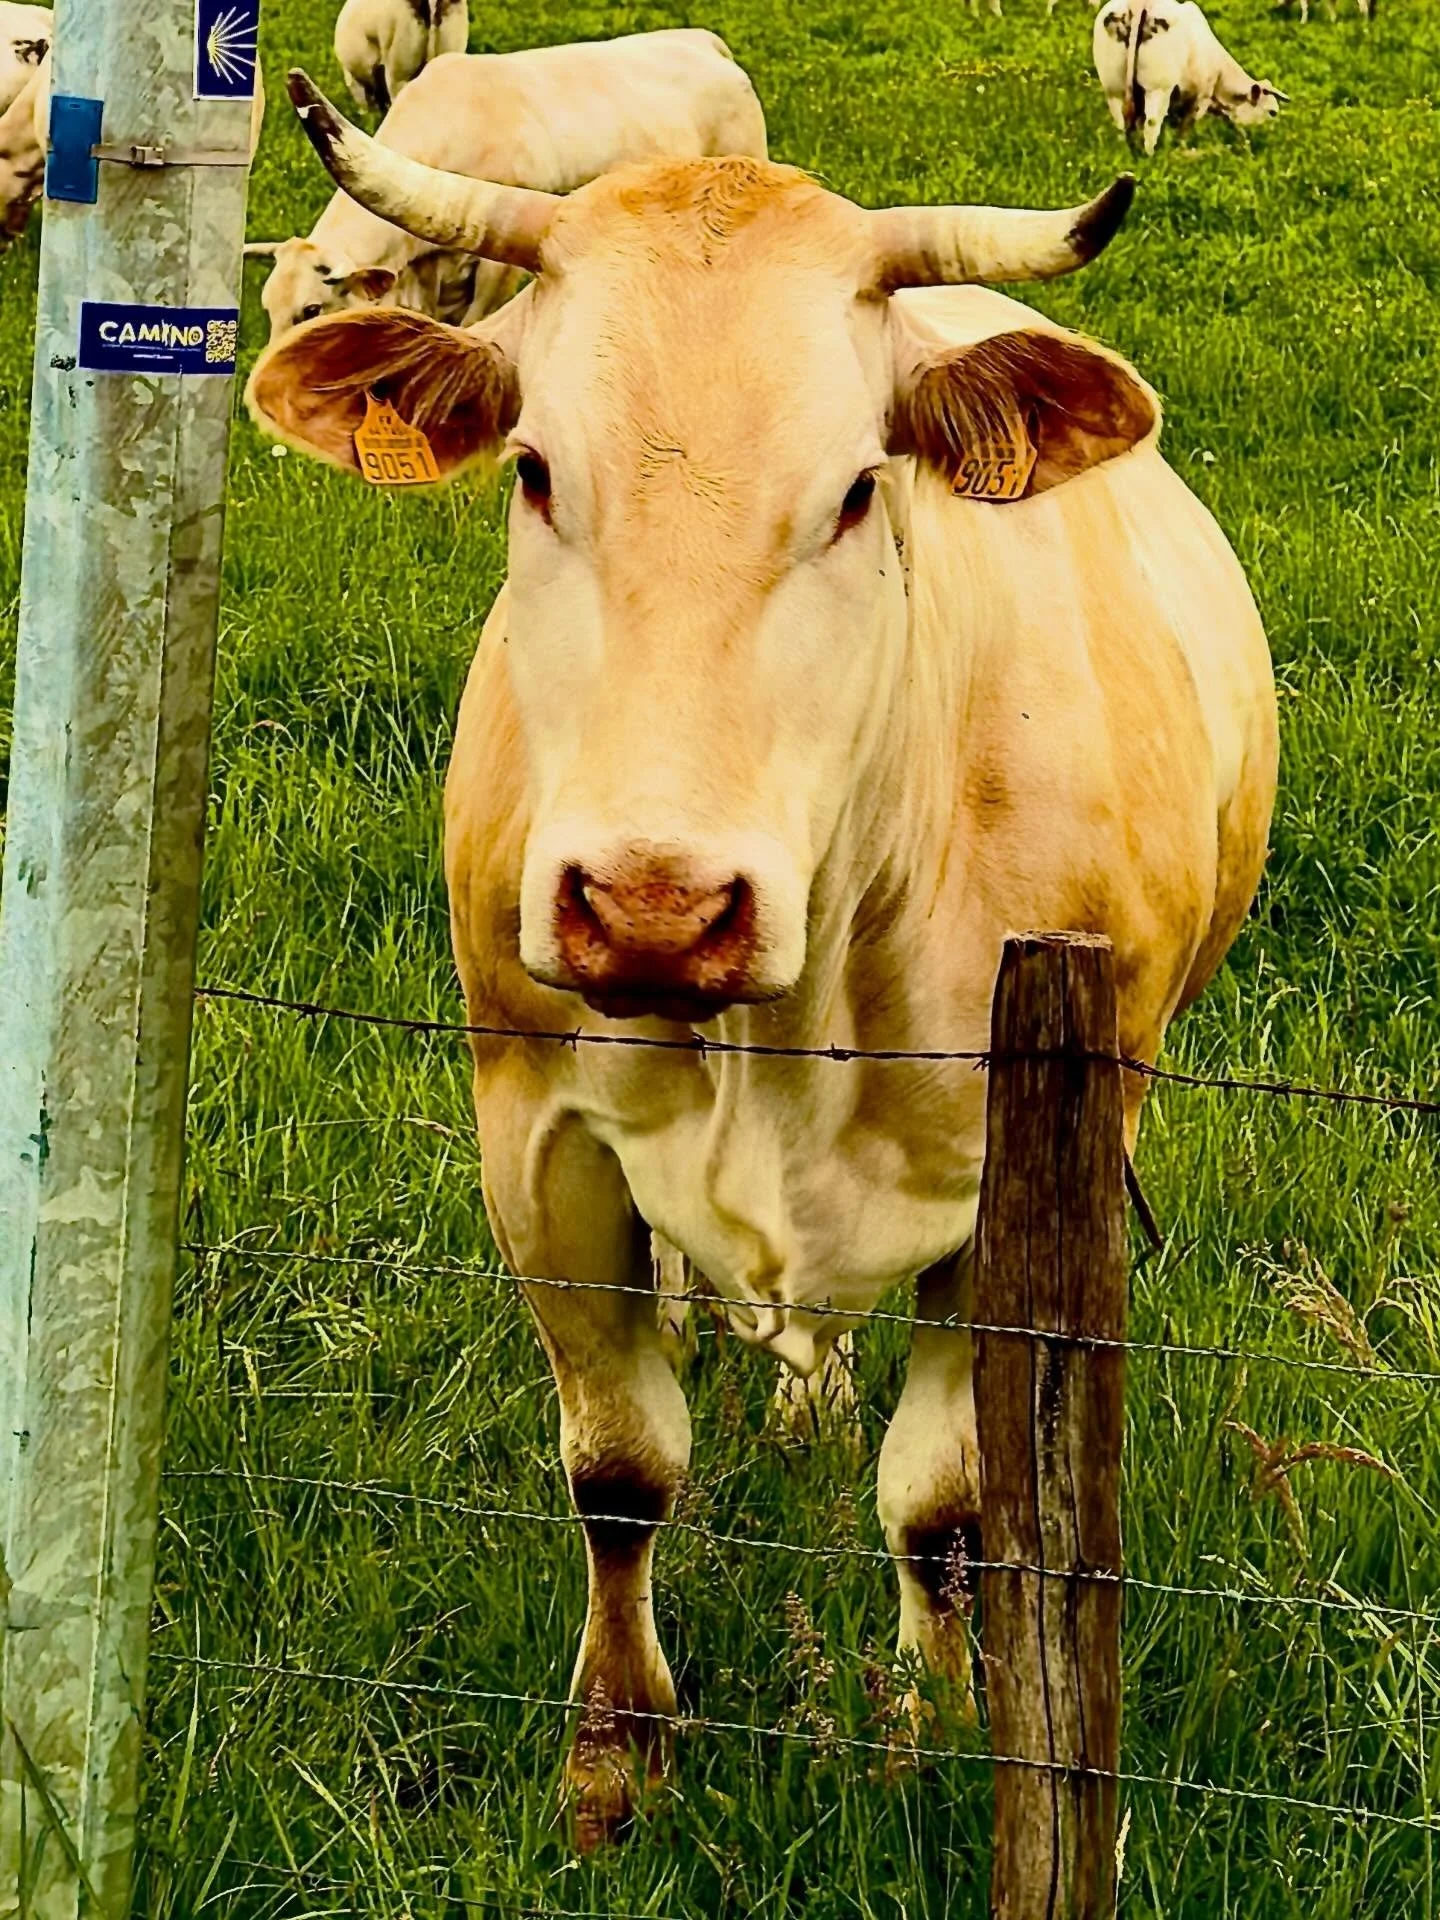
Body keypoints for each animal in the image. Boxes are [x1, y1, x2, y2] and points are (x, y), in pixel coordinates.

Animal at [247, 72, 1279, 1849]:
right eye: (532, 468)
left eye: (862, 490)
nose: (655, 904)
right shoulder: (534, 1138)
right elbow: (619, 1467)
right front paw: (615, 1761)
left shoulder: (1011, 1194)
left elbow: (942, 1503)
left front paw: (930, 1721)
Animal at [1095, 0, 1286, 154]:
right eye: (1272, 112)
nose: (1274, 136)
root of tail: (1138, 4)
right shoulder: (1199, 100)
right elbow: (1184, 131)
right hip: (1159, 88)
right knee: (1152, 124)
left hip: (1113, 88)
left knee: (1121, 123)